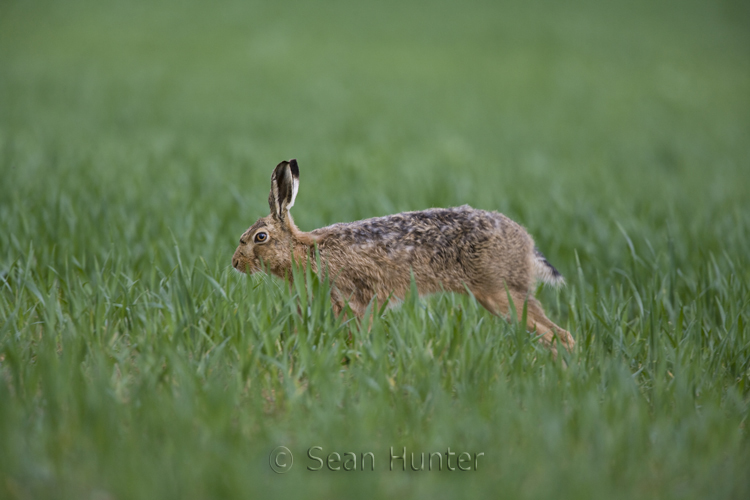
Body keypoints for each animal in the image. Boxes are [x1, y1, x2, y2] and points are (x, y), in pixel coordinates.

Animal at [232, 159, 575, 353]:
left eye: (260, 237)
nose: (236, 263)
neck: (305, 250)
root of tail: (527, 243)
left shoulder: (360, 297)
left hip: (500, 292)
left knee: (560, 334)